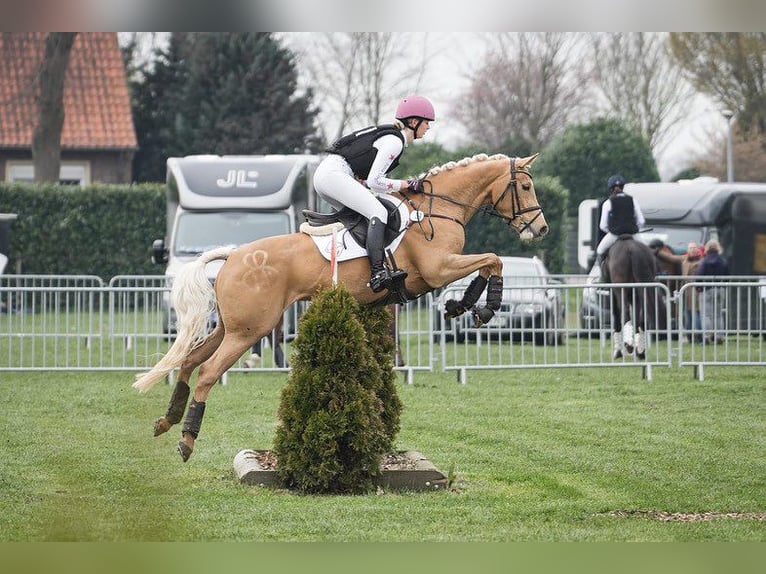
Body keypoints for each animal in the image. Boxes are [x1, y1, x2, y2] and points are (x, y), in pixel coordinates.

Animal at [135, 153, 548, 464]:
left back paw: (166, 421)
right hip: (249, 330)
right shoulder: (438, 268)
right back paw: (186, 440)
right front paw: (480, 307)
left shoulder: (441, 271)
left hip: (230, 327)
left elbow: (489, 263)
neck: (438, 210)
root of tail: (233, 255)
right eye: (526, 187)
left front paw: (463, 304)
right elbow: (493, 260)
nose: (540, 229)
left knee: (188, 362)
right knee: (207, 372)